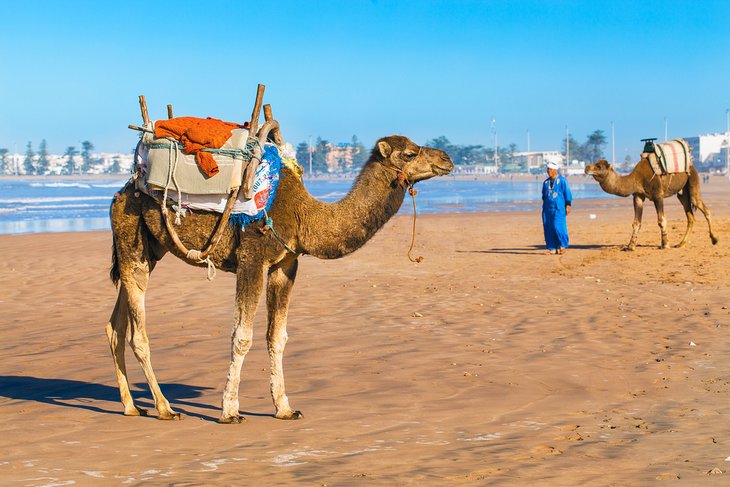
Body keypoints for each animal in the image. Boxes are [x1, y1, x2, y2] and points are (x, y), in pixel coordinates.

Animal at [106, 134, 452, 424]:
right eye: (410, 153)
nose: (447, 159)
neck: (305, 215)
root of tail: (121, 192)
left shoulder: (285, 265)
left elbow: (277, 337)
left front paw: (285, 408)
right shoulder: (252, 259)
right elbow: (242, 337)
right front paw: (229, 411)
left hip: (149, 249)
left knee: (115, 326)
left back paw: (131, 406)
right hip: (130, 238)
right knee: (138, 332)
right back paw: (165, 408)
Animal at [580, 159, 716, 252]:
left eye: (599, 166)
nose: (586, 168)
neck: (635, 179)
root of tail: (691, 165)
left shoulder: (657, 195)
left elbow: (661, 220)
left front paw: (665, 244)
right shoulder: (638, 196)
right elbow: (636, 222)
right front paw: (630, 246)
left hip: (693, 179)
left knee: (702, 206)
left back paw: (714, 239)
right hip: (682, 192)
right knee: (690, 215)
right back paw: (681, 244)